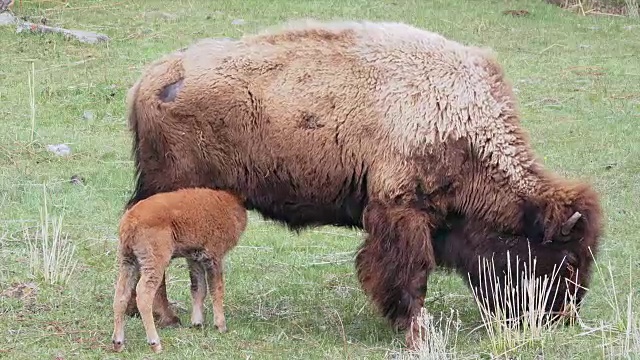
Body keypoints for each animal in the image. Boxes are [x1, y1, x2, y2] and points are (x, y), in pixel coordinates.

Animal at [111, 188, 246, 354]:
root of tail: (131, 221)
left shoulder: (195, 259)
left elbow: (199, 288)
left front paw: (197, 323)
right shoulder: (214, 257)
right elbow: (217, 289)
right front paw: (221, 326)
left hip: (128, 261)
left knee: (121, 295)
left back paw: (118, 343)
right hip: (153, 263)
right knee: (143, 295)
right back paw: (155, 344)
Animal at [122, 20, 604, 348]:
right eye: (565, 259)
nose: (562, 317)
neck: (461, 126)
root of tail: (152, 78)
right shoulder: (401, 212)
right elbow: (409, 273)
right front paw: (414, 329)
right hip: (167, 189)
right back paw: (166, 316)